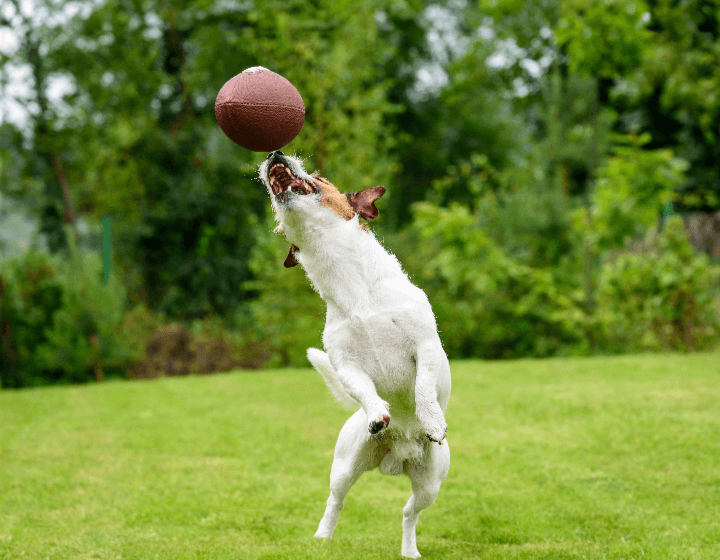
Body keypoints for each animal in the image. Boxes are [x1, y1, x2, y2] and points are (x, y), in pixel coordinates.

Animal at [258, 151, 450, 556]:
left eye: (319, 176)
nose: (273, 154)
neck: (352, 286)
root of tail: (398, 456)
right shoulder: (345, 364)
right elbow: (363, 389)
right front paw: (377, 412)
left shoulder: (426, 346)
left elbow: (424, 386)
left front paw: (432, 420)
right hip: (345, 465)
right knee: (337, 500)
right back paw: (322, 537)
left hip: (430, 483)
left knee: (409, 512)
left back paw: (409, 550)